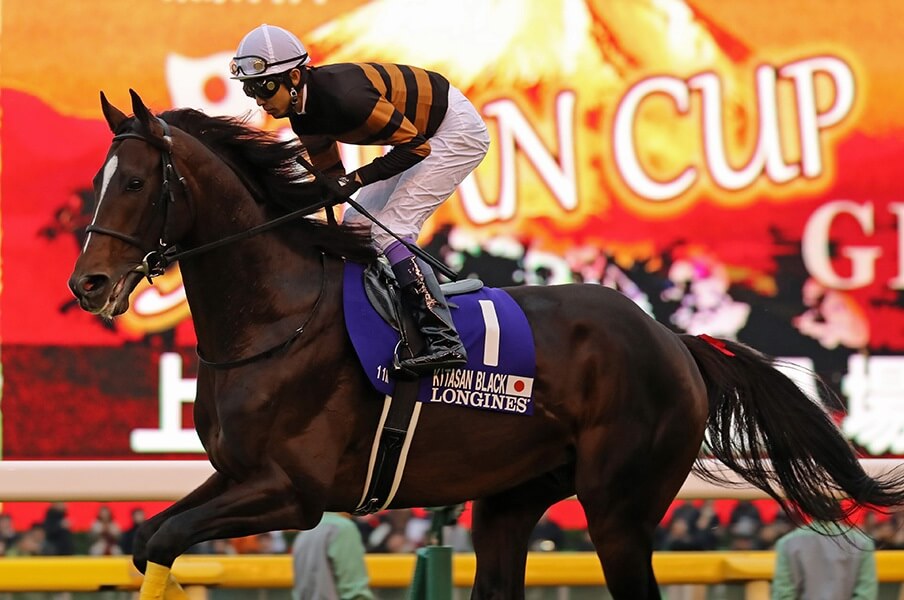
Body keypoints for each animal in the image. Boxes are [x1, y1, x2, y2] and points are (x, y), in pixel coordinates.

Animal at [68, 90, 904, 600]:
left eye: (135, 183)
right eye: (100, 180)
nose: (88, 283)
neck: (277, 319)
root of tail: (671, 341)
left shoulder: (292, 491)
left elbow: (166, 538)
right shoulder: (237, 476)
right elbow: (149, 538)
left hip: (618, 507)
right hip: (511, 499)